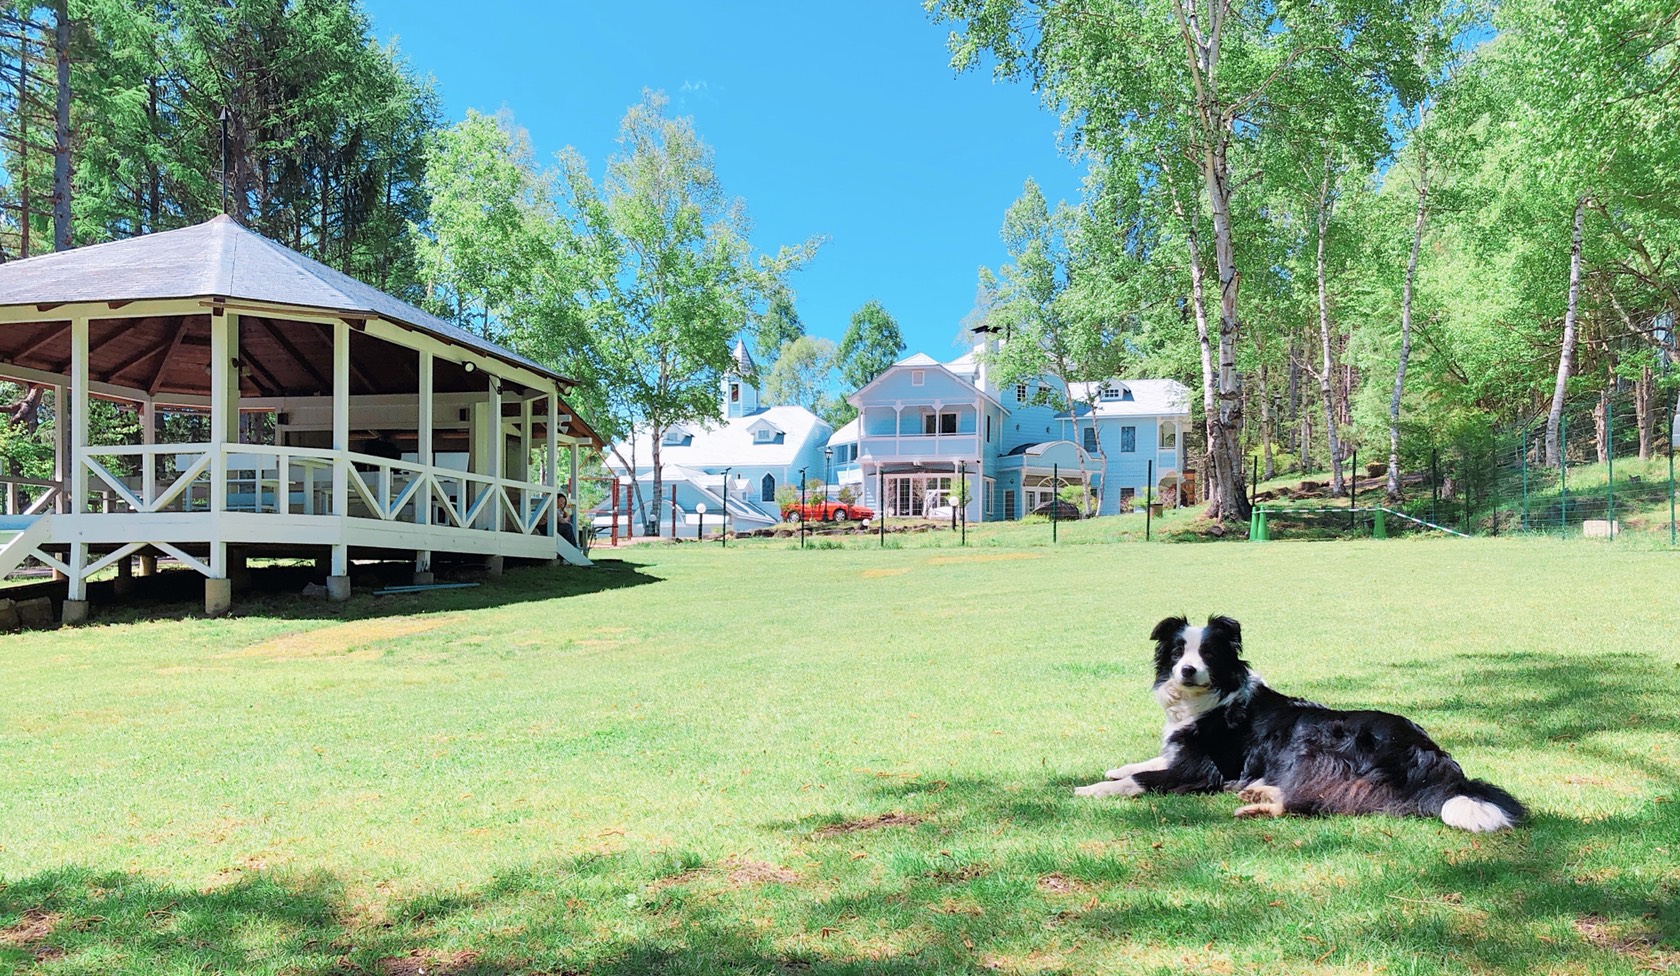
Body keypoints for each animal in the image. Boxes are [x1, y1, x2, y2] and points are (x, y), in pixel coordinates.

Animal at [1075, 611, 1525, 826]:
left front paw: (1092, 789)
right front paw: (1114, 769)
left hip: (1318, 746)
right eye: (1177, 652)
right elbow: (1147, 761)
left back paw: (1258, 805)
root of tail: (1436, 760)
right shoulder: (1181, 750)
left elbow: (1144, 778)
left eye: (1208, 654)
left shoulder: (1203, 770)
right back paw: (1258, 793)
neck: (1208, 699)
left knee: (1319, 803)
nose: (1187, 671)